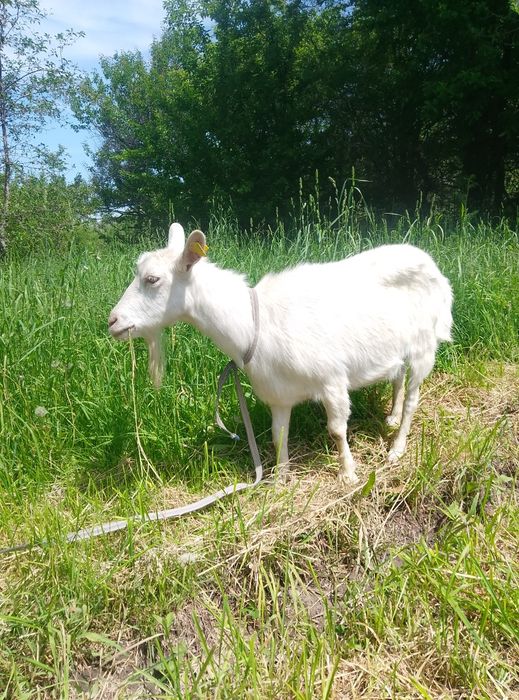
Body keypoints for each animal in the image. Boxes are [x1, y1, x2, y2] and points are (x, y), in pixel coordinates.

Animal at [108, 223, 453, 483]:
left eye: (152, 279)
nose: (113, 321)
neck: (254, 323)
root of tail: (431, 264)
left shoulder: (332, 380)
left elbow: (336, 430)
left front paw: (348, 474)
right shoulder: (278, 394)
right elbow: (278, 434)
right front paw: (281, 478)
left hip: (424, 345)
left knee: (413, 396)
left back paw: (397, 446)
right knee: (397, 377)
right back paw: (391, 417)